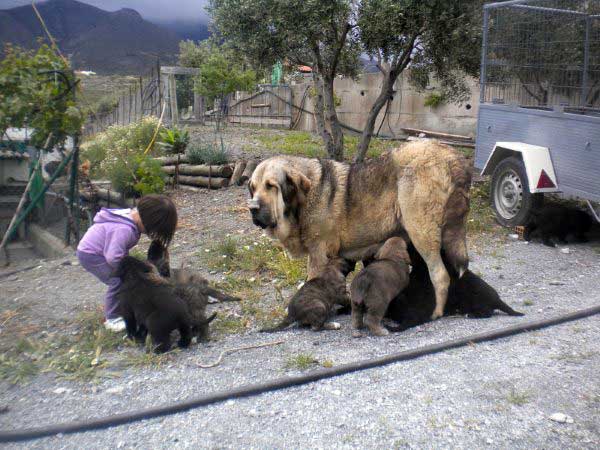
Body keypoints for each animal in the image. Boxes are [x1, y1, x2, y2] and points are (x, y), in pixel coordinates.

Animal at [246, 141, 472, 320]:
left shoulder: (319, 254)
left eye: (271, 186)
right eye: (253, 187)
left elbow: (311, 282)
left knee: (440, 275)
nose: (252, 207)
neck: (303, 198)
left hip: (422, 232)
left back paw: (437, 313)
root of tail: (453, 157)